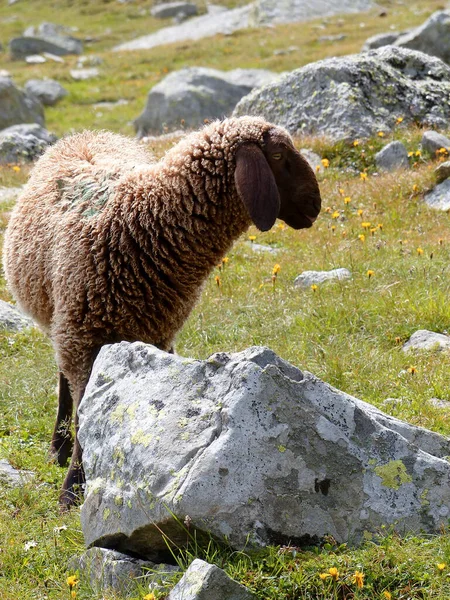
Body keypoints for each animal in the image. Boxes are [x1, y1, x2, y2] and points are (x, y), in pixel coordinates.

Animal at [1, 116, 322, 506]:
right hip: (63, 323)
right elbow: (82, 415)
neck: (144, 218)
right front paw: (72, 490)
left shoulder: (156, 335)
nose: (315, 203)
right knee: (64, 384)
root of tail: (86, 135)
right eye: (277, 155)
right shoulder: (83, 337)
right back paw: (57, 450)